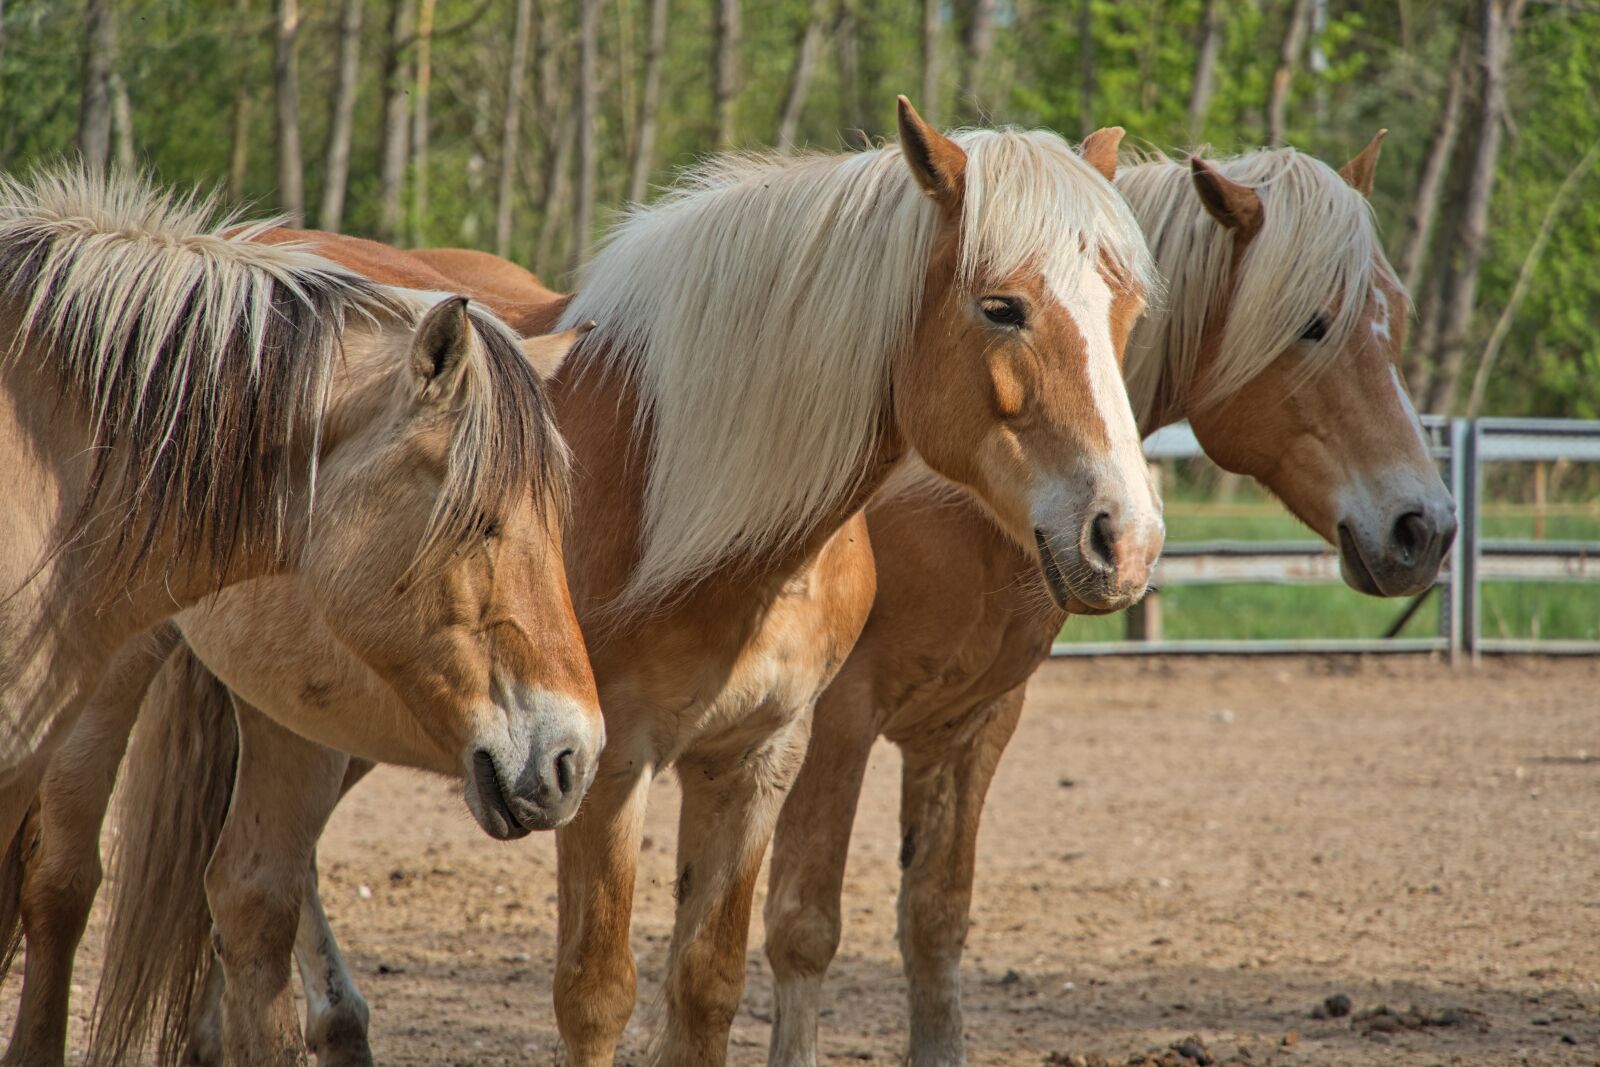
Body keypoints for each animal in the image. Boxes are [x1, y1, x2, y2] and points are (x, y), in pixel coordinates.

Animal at [760, 134, 1458, 1067]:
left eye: (1397, 311)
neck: (953, 493)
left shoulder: (973, 720)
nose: (1427, 527)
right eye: (1314, 323)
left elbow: (935, 923)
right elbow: (803, 928)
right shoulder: (835, 719)